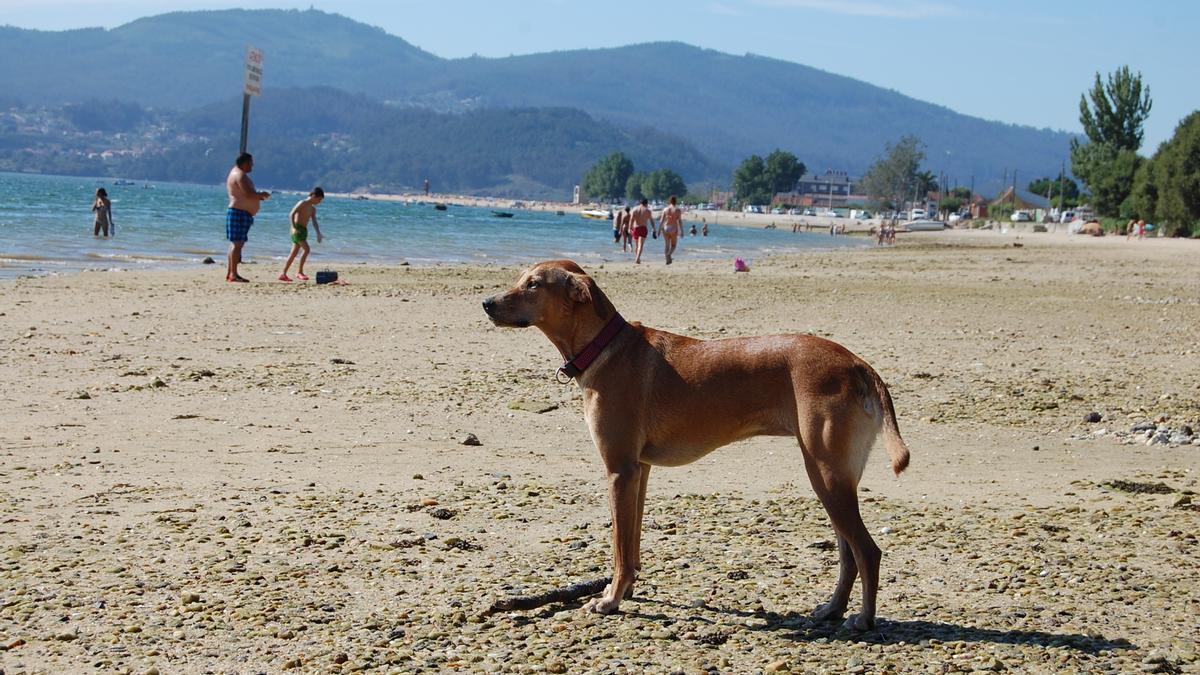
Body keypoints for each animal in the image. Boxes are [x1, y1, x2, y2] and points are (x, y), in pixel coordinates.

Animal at [477, 260, 907, 629]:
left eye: (533, 284)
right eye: (520, 279)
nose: (487, 303)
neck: (603, 347)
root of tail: (858, 364)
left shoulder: (619, 470)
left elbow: (619, 548)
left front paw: (610, 599)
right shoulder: (639, 471)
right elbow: (631, 544)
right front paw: (626, 589)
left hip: (826, 474)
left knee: (867, 550)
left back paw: (864, 619)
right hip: (832, 479)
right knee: (848, 553)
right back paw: (833, 609)